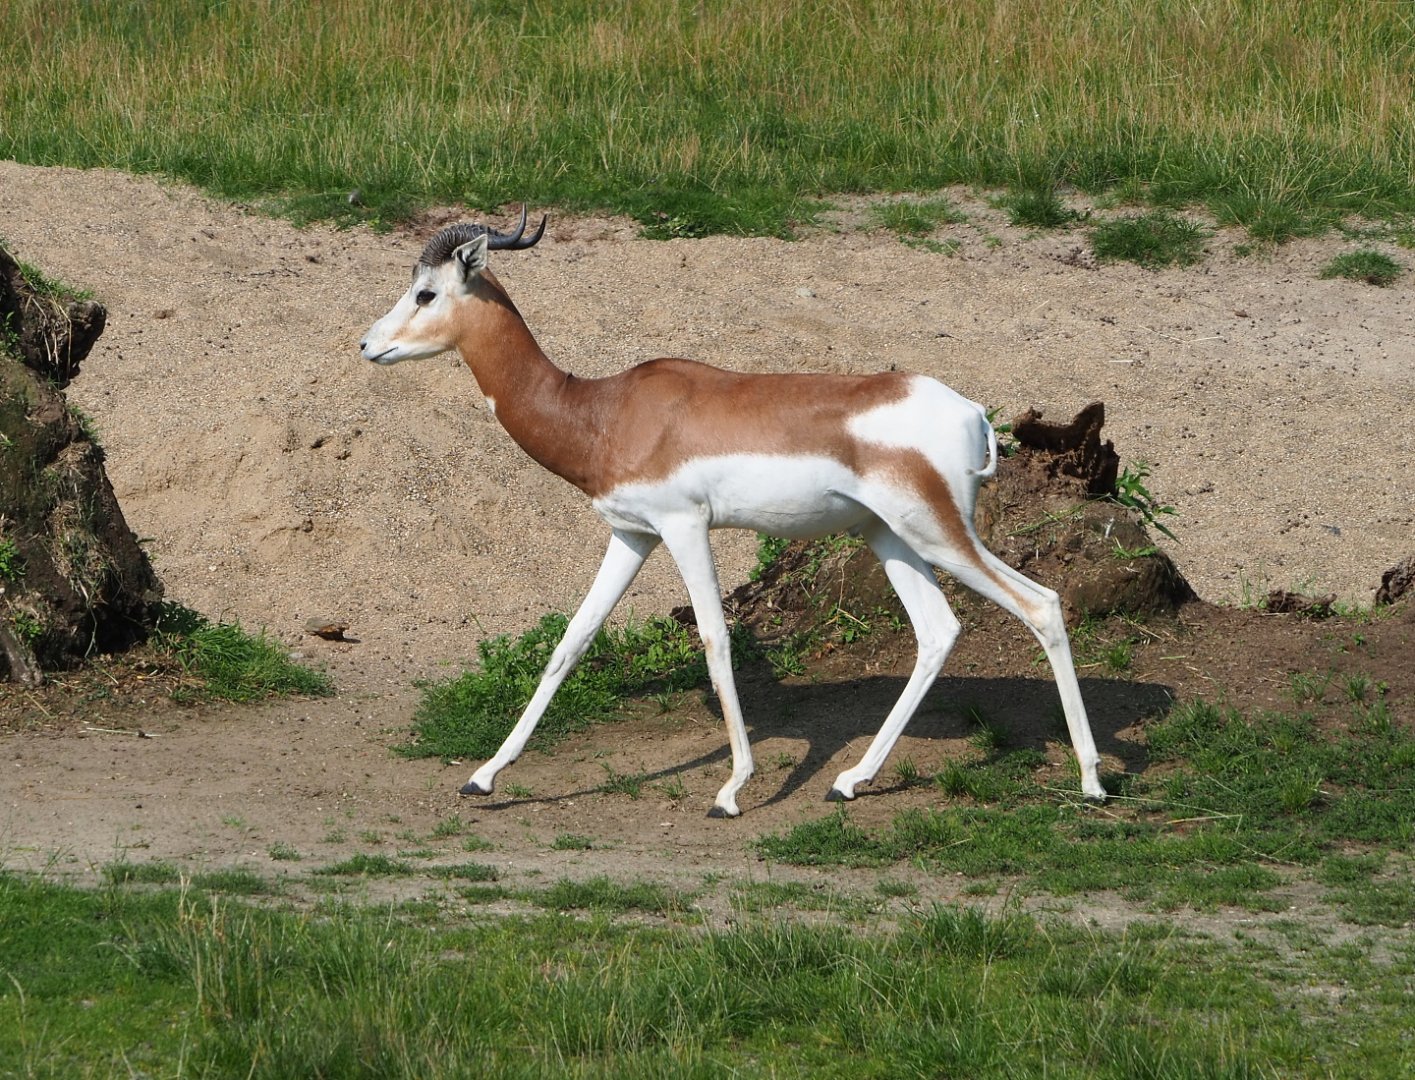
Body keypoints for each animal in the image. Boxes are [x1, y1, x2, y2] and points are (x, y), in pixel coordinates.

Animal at [360, 209, 1106, 818]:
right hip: (887, 536)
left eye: (426, 292)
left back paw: (1092, 780)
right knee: (937, 631)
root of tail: (973, 412)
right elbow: (570, 642)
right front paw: (484, 776)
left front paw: (732, 789)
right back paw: (849, 781)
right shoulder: (630, 534)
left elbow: (716, 641)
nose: (368, 345)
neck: (602, 411)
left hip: (940, 533)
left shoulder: (685, 526)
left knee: (1040, 604)